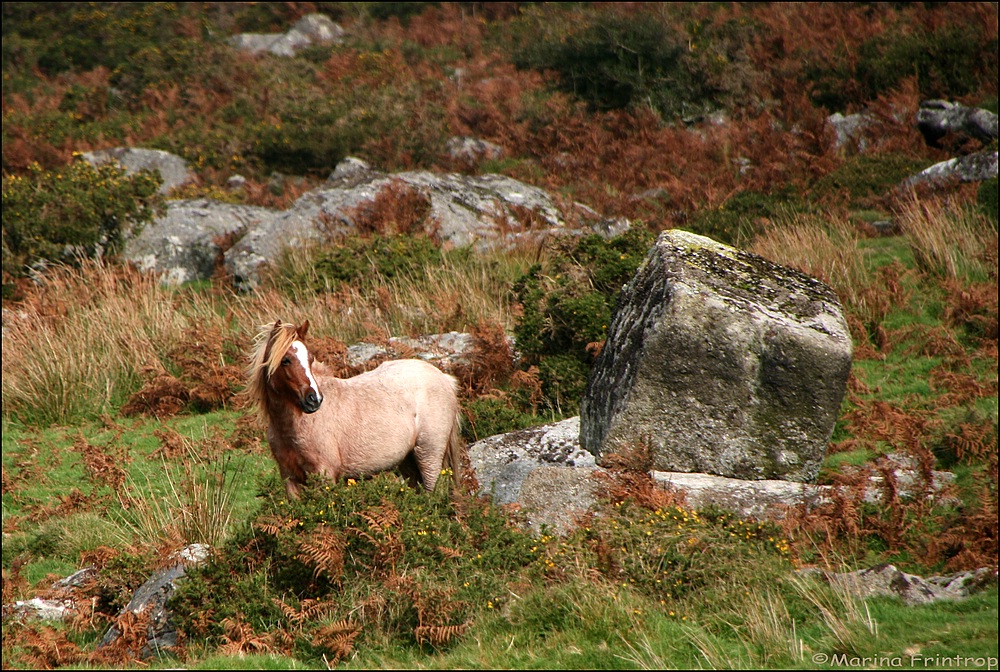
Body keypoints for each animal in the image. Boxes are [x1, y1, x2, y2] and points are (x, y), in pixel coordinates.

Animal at [244, 320, 462, 498]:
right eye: (285, 360)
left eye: (311, 359)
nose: (314, 400)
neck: (292, 426)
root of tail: (444, 378)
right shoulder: (290, 479)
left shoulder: (324, 476)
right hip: (408, 462)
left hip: (429, 454)